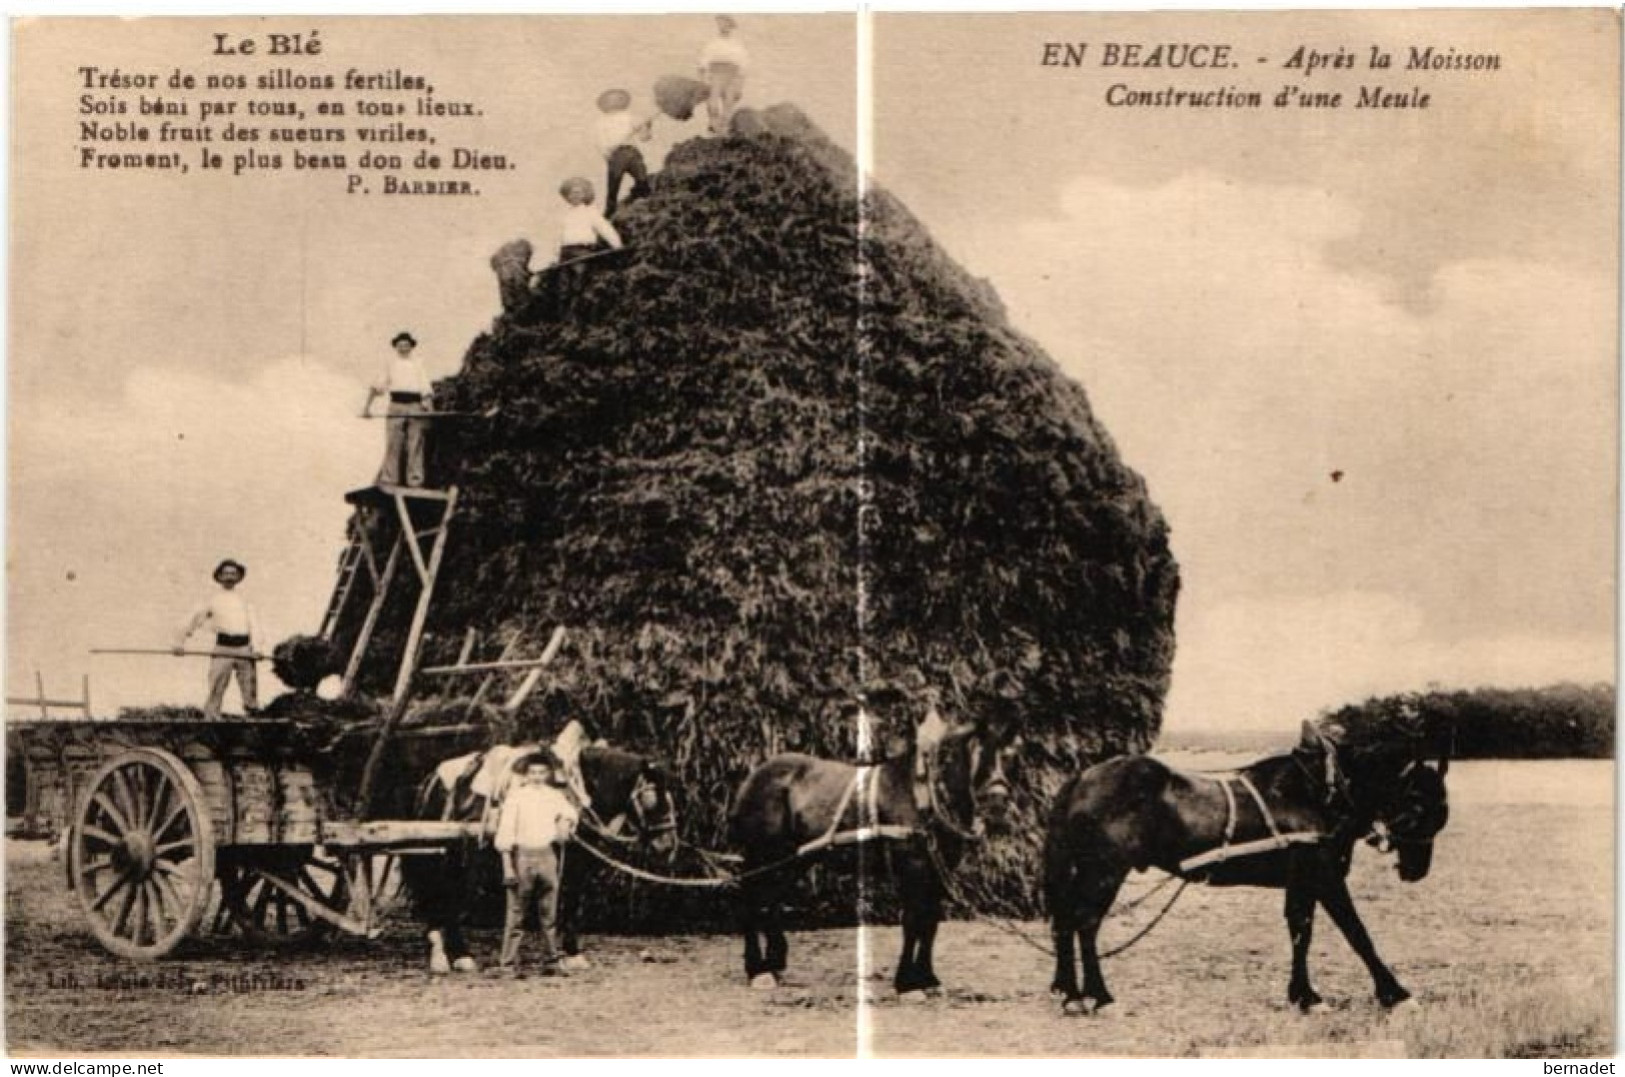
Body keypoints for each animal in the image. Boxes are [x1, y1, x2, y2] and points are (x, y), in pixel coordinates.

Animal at [409, 747, 682, 974]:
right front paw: (572, 953)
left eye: (670, 797)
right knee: (444, 894)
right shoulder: (573, 859)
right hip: (453, 852)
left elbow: (571, 901)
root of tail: (433, 779)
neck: (581, 792)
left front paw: (568, 953)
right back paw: (455, 956)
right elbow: (570, 901)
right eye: (652, 798)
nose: (668, 845)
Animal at [728, 721, 1014, 1000]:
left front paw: (928, 979)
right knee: (751, 900)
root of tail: (753, 778)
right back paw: (758, 971)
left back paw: (774, 964)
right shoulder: (912, 866)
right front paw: (907, 985)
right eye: (973, 753)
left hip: (794, 859)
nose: (998, 802)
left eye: (1006, 754)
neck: (922, 797)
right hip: (764, 853)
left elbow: (930, 921)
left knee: (770, 902)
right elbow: (913, 920)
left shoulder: (937, 871)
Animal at [1046, 721, 1456, 1013]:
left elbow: (1301, 930)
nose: (1416, 871)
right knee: (1085, 922)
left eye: (1440, 810)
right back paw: (1098, 995)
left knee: (1064, 920)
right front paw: (1395, 994)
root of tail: (1082, 777)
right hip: (1105, 872)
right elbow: (1356, 933)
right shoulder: (1324, 875)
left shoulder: (1302, 879)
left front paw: (1303, 995)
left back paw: (1068, 991)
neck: (1320, 791)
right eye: (1417, 804)